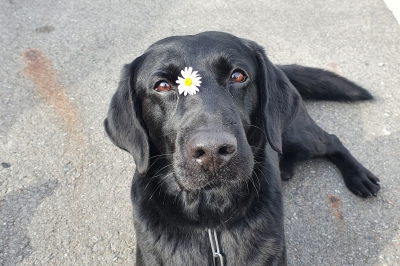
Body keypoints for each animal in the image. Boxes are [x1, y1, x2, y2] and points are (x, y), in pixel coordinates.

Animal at [104, 31, 380, 266]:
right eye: (162, 85)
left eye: (237, 76)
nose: (213, 151)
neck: (211, 223)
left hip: (297, 137)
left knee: (332, 140)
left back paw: (360, 177)